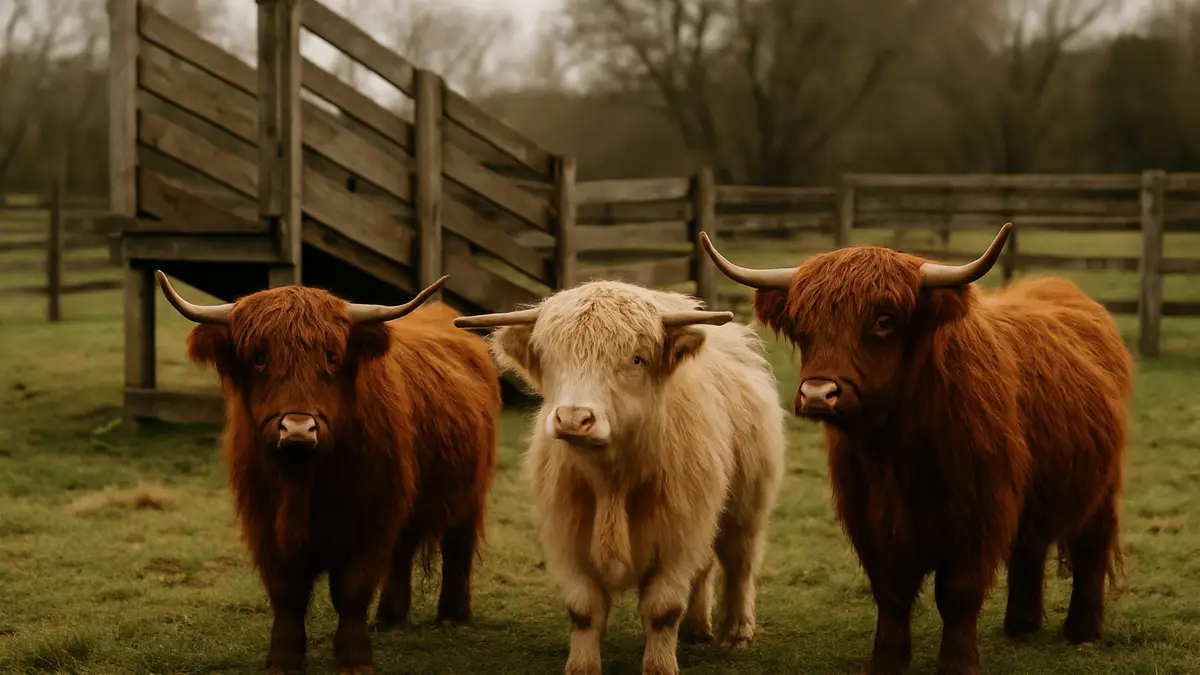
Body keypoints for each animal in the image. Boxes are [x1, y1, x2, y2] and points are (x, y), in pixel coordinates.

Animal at [154, 272, 500, 675]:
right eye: (259, 357)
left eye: (332, 357)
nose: (298, 429)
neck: (301, 483)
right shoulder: (263, 524)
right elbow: (286, 592)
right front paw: (283, 659)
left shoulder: (370, 520)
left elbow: (352, 590)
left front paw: (354, 660)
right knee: (402, 551)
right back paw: (391, 617)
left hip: (471, 491)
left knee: (457, 546)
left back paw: (450, 615)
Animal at [453, 280, 787, 675]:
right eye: (550, 358)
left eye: (637, 358)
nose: (573, 418)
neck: (611, 481)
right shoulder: (567, 537)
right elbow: (583, 609)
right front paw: (581, 667)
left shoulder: (679, 535)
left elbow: (662, 609)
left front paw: (660, 666)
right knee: (705, 568)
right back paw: (695, 628)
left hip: (746, 506)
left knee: (739, 563)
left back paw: (736, 632)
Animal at [700, 224, 1133, 675]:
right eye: (803, 322)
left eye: (884, 321)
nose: (818, 394)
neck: (897, 453)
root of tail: (1061, 289)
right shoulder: (869, 519)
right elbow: (890, 591)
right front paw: (886, 661)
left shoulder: (979, 514)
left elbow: (959, 593)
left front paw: (958, 664)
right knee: (1029, 548)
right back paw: (1021, 625)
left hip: (1102, 488)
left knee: (1091, 549)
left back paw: (1083, 630)